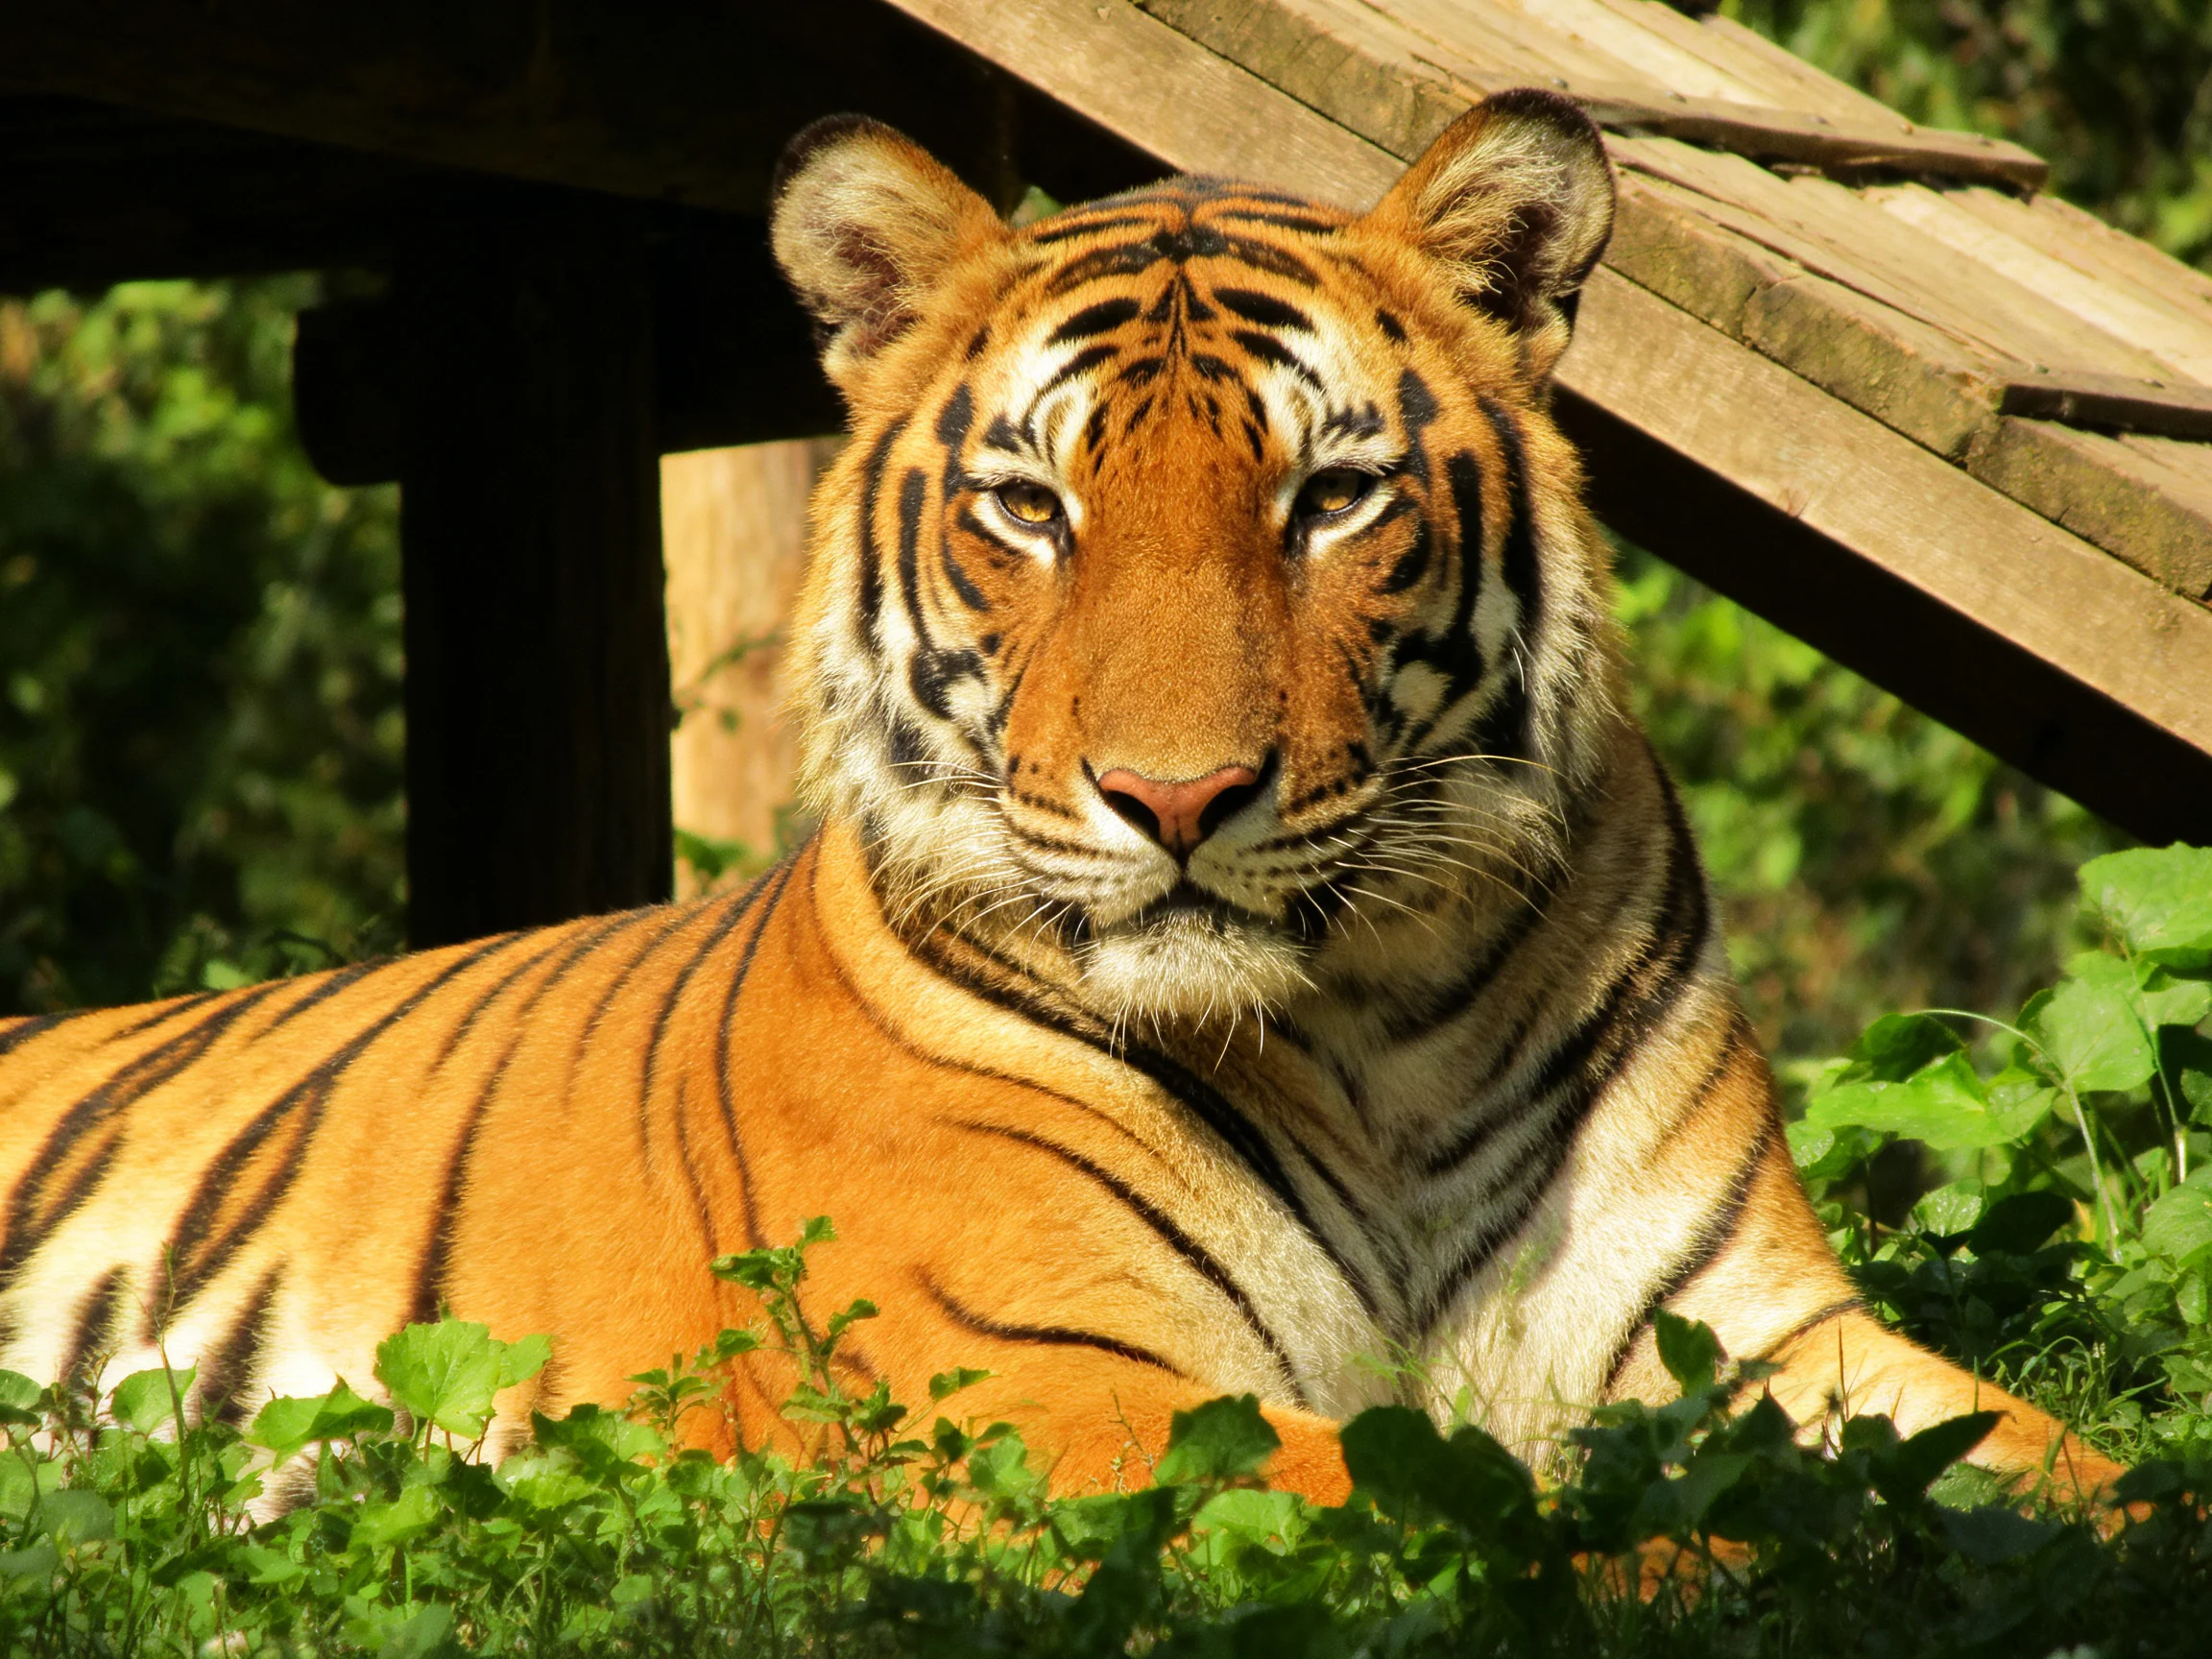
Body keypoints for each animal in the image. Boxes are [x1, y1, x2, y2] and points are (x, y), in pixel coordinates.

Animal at [0, 90, 2122, 1509]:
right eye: (1032, 506)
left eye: (1330, 497)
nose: (1175, 798)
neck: (1375, 1032)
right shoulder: (1029, 1375)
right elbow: (1514, 1520)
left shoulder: (1756, 1325)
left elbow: (2059, 1471)